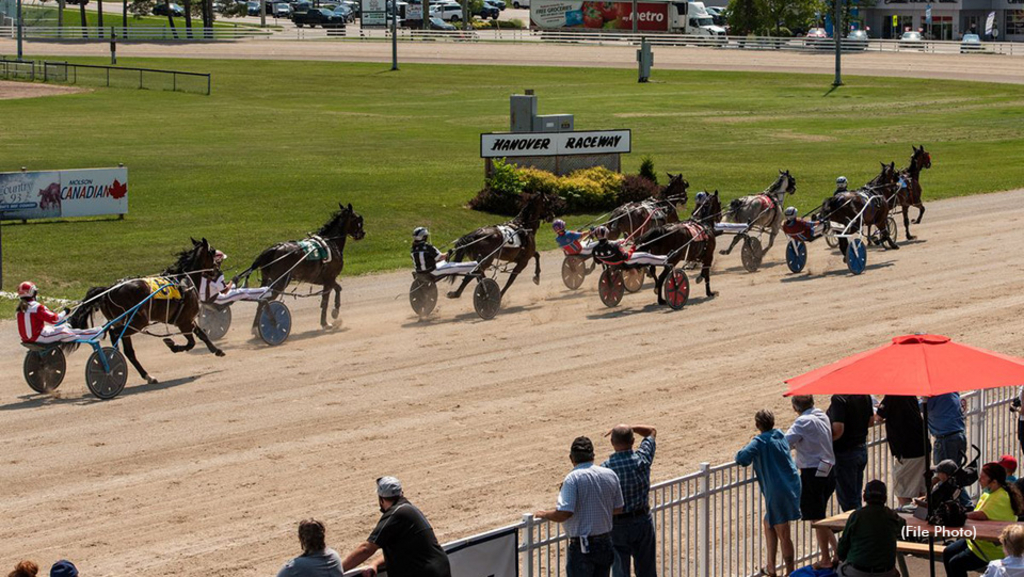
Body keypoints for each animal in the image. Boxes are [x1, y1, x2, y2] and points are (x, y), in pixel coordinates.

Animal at [69, 236, 226, 385]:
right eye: (213, 252)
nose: (217, 270)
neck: (184, 281)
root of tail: (108, 290)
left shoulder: (188, 320)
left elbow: (201, 334)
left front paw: (217, 350)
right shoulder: (184, 322)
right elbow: (191, 342)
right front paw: (173, 345)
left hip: (126, 322)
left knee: (129, 352)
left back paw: (147, 376)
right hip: (137, 321)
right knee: (115, 334)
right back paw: (111, 361)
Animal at [237, 202, 366, 330]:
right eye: (358, 219)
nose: (362, 233)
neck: (330, 243)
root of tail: (273, 249)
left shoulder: (326, 279)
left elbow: (337, 289)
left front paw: (333, 313)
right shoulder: (329, 278)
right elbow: (327, 299)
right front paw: (327, 320)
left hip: (267, 281)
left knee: (260, 301)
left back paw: (256, 327)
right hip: (279, 282)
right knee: (264, 300)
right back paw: (270, 323)